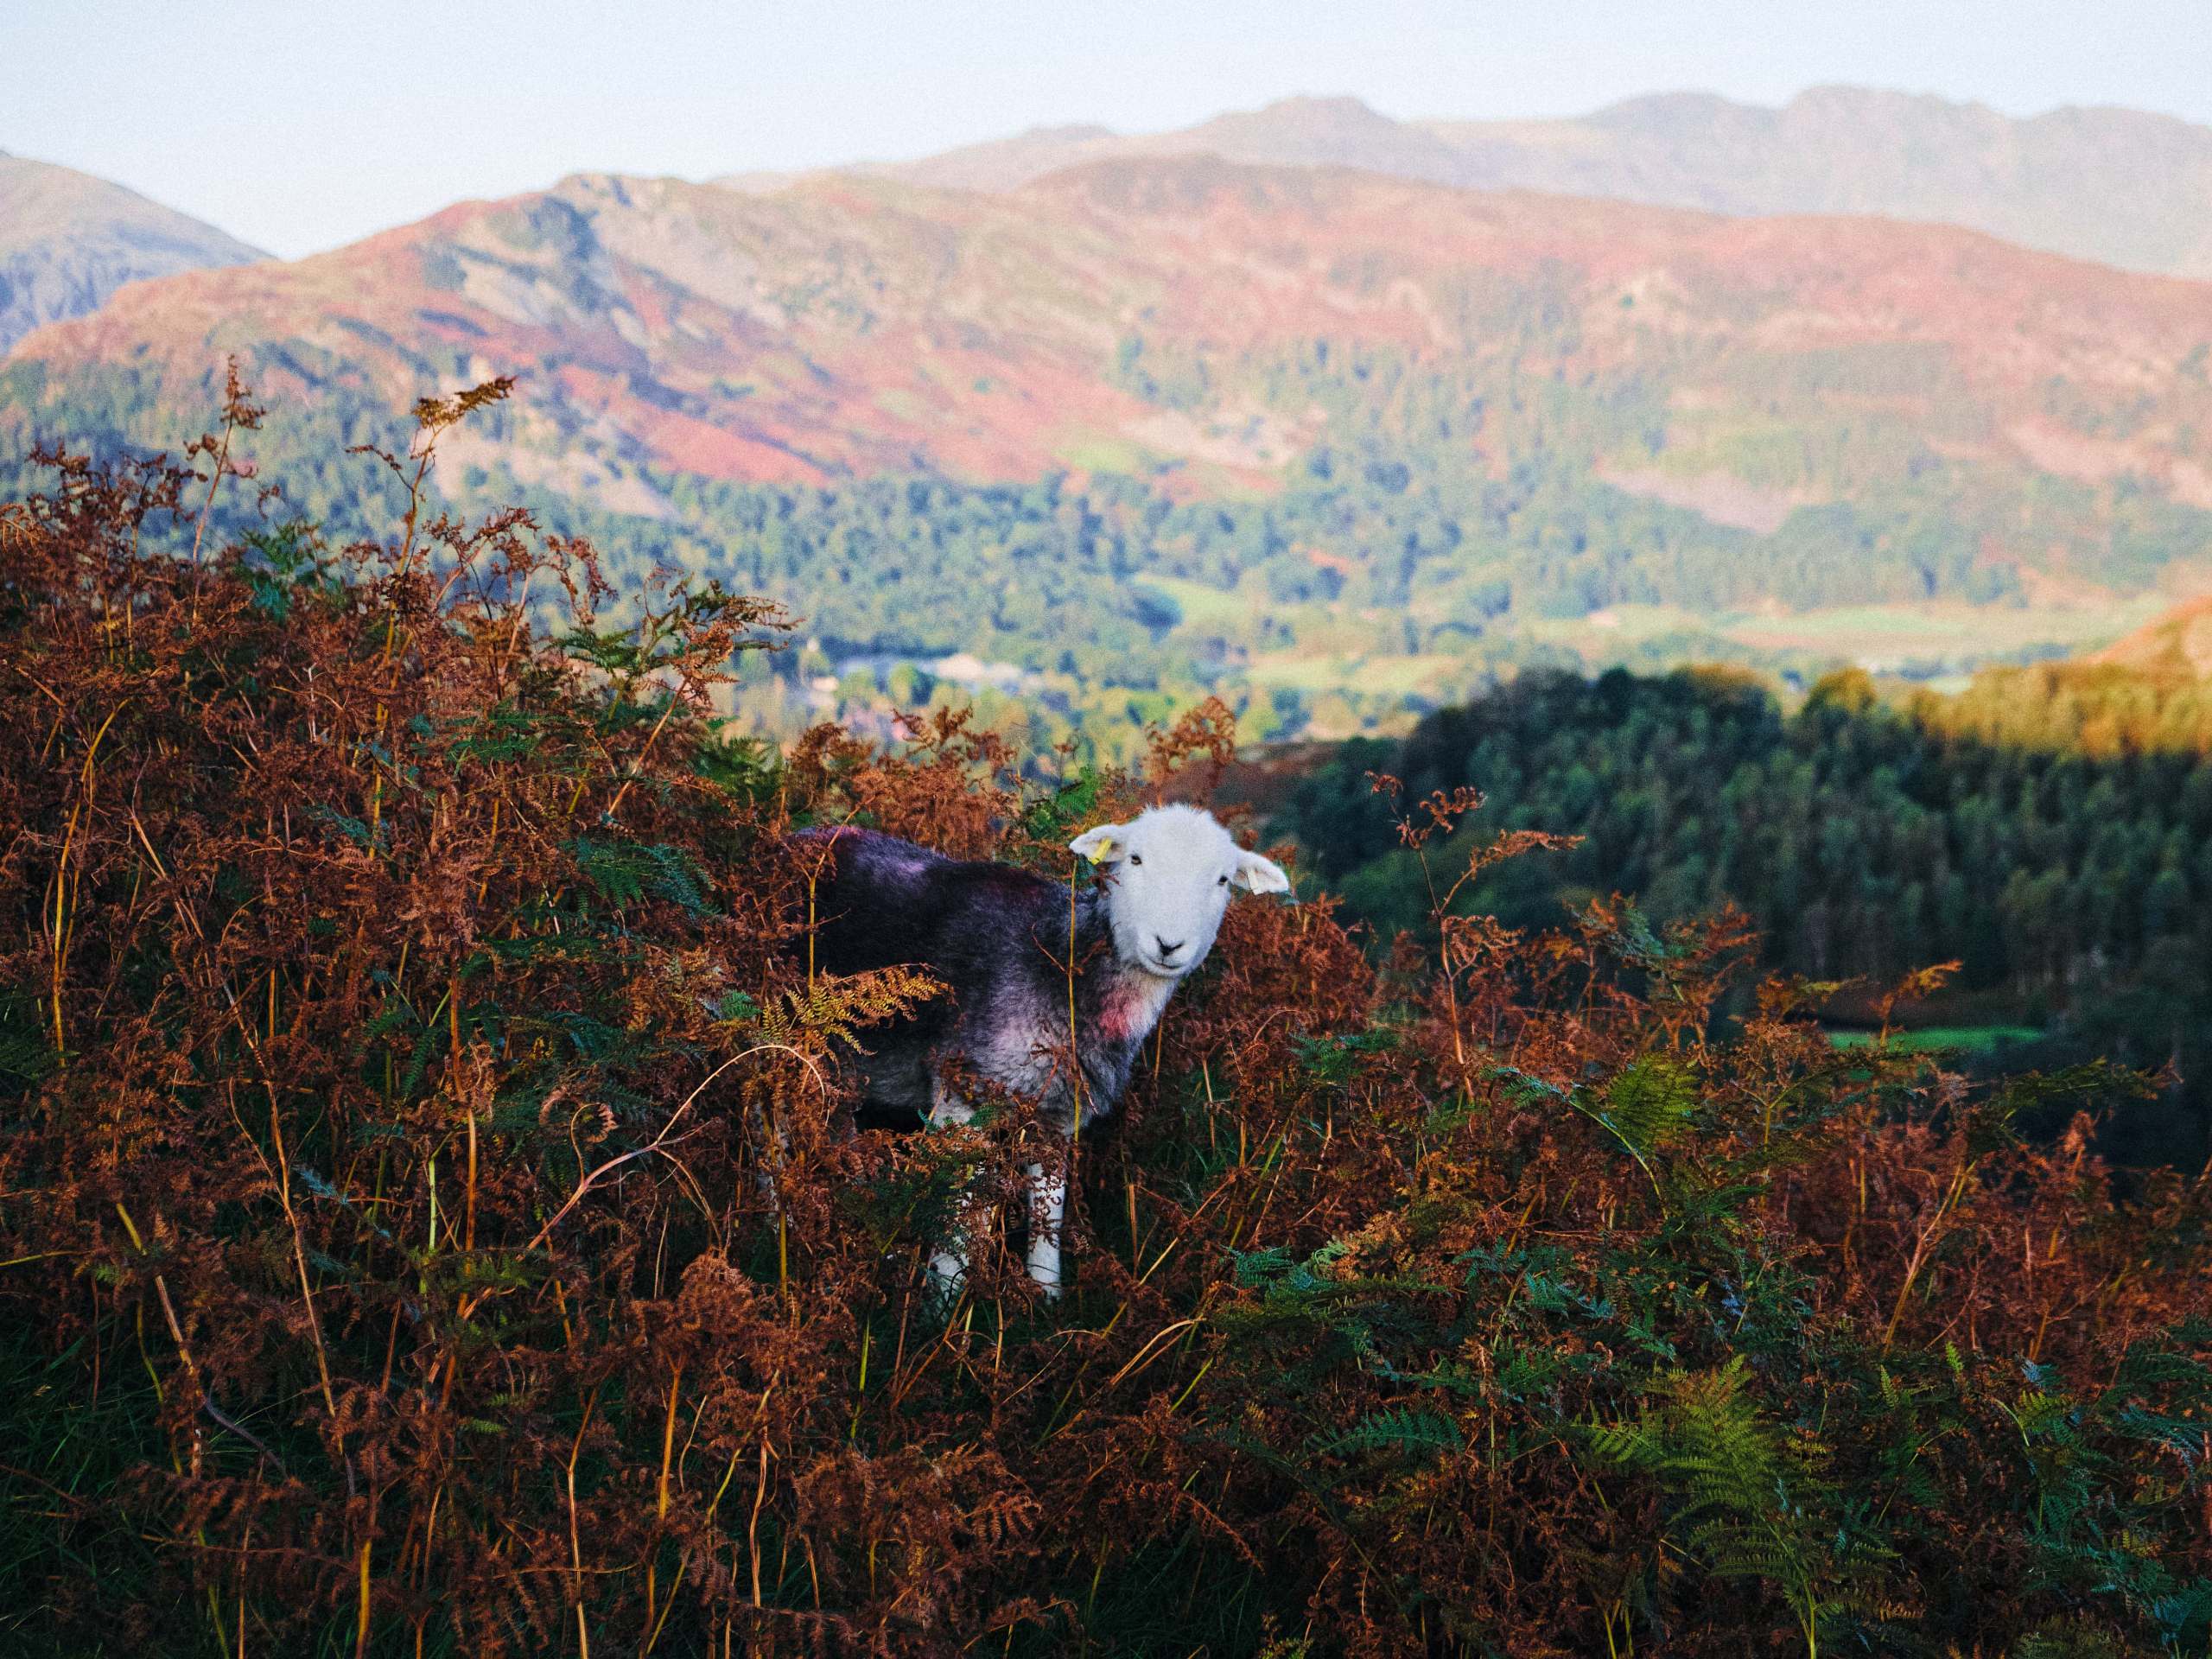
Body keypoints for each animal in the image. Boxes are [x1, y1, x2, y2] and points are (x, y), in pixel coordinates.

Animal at [796, 804, 1292, 1300]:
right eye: (1134, 859)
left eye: (1223, 880)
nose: (1169, 944)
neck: (1064, 965)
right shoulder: (962, 1092)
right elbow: (957, 1216)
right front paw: (943, 1303)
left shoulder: (1058, 1112)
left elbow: (1047, 1211)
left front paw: (1046, 1297)